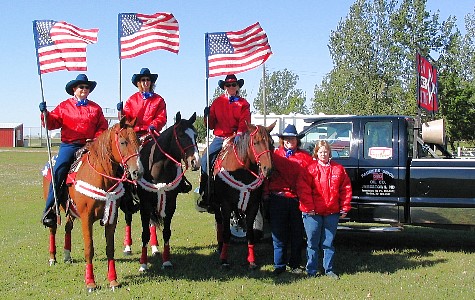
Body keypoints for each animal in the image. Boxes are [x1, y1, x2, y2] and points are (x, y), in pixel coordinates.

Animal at [42, 118, 143, 292]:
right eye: (123, 142)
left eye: (138, 141)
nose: (137, 172)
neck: (99, 176)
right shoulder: (86, 218)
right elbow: (89, 248)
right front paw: (90, 283)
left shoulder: (112, 217)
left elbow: (110, 248)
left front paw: (113, 281)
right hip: (55, 210)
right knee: (52, 228)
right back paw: (52, 258)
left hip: (71, 211)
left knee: (68, 227)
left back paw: (67, 255)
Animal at [121, 112, 201, 272]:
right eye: (181, 135)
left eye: (195, 135)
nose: (195, 162)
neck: (158, 167)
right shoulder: (144, 205)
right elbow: (144, 234)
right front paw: (143, 264)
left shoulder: (170, 204)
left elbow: (166, 232)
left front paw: (166, 261)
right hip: (128, 201)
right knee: (128, 218)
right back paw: (128, 247)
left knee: (152, 223)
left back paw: (155, 248)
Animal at [211, 120, 276, 268]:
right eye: (256, 142)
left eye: (272, 142)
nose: (268, 169)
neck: (241, 172)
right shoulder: (226, 205)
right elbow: (226, 233)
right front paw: (224, 260)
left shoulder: (253, 206)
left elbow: (250, 234)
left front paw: (252, 261)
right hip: (217, 205)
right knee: (220, 223)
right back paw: (220, 247)